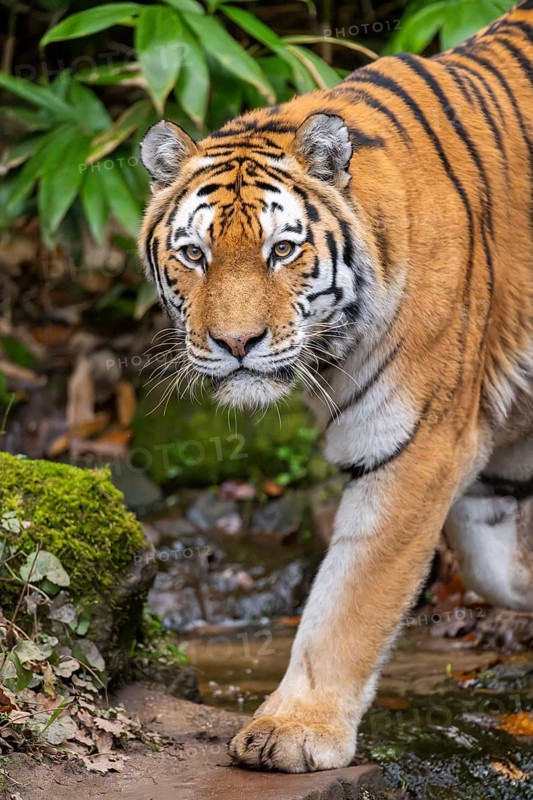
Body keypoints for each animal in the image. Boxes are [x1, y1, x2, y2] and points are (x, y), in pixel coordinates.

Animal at [138, 0, 533, 773]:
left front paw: (295, 730)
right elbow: (496, 565)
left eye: (282, 250)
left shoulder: (416, 444)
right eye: (193, 254)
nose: (235, 344)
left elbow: (351, 597)